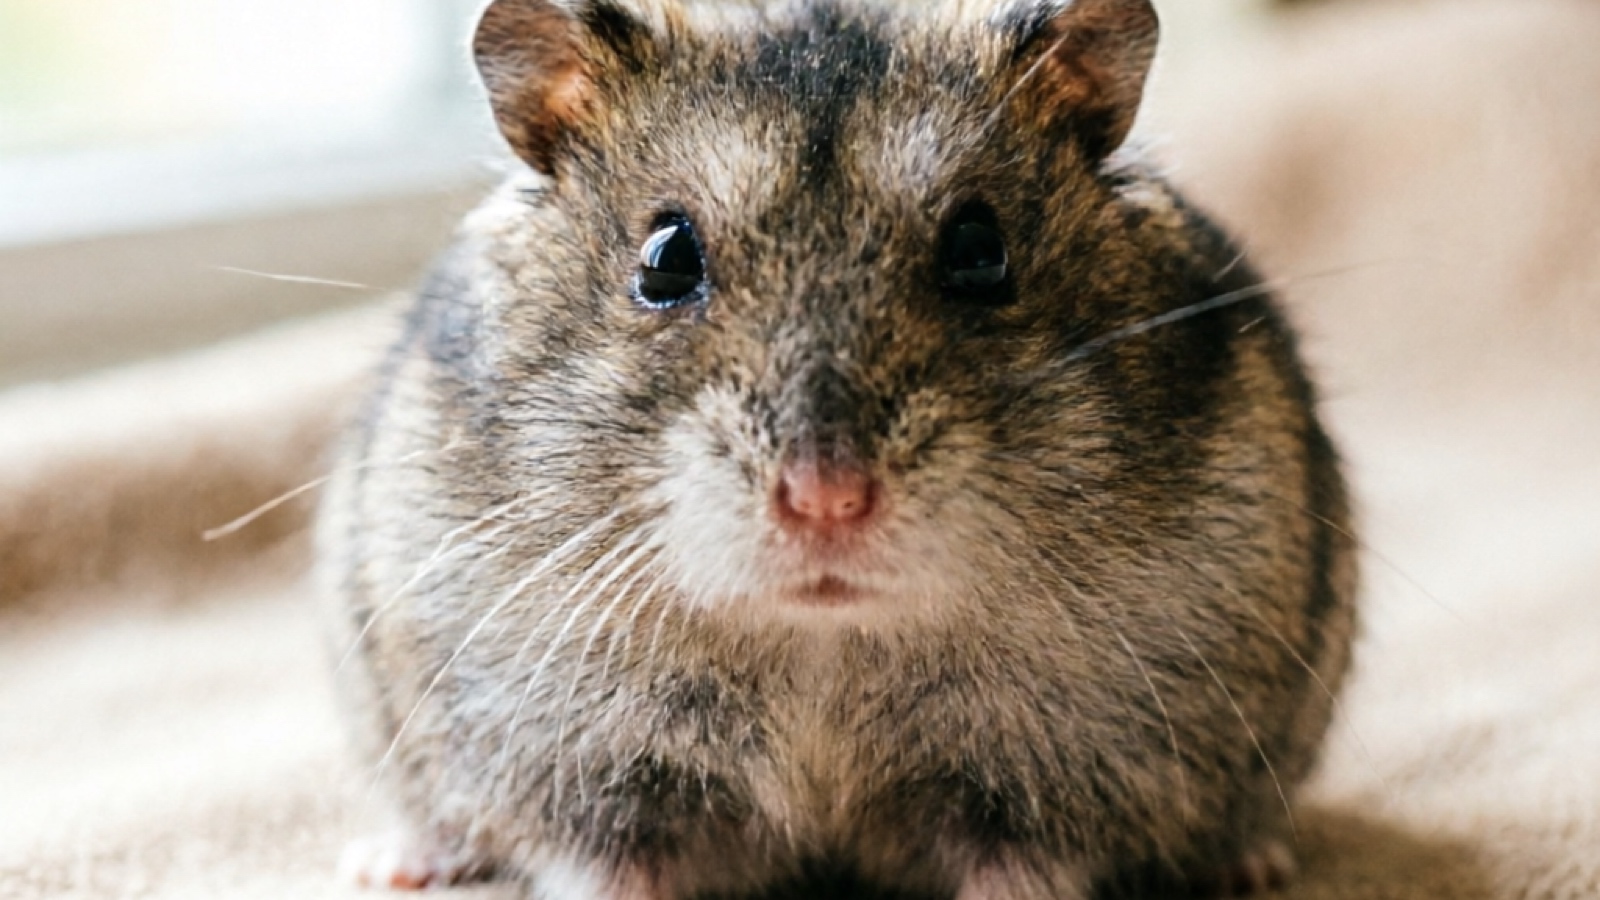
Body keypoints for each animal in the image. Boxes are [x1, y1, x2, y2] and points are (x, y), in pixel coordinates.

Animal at [317, 0, 1357, 897]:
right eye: (666, 258)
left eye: (980, 252)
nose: (828, 500)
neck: (821, 642)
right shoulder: (591, 782)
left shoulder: (1051, 791)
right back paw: (397, 863)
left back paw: (1252, 865)